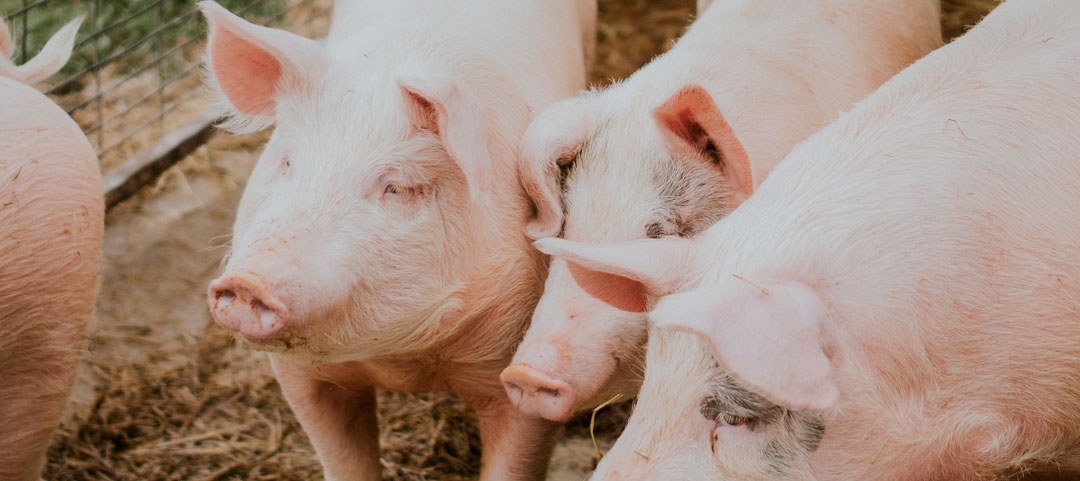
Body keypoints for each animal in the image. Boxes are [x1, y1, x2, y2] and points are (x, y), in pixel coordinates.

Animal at [198, 1, 596, 477]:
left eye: (398, 188)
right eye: (287, 162)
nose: (247, 282)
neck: (401, 362)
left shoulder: (521, 372)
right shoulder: (299, 375)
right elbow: (344, 459)